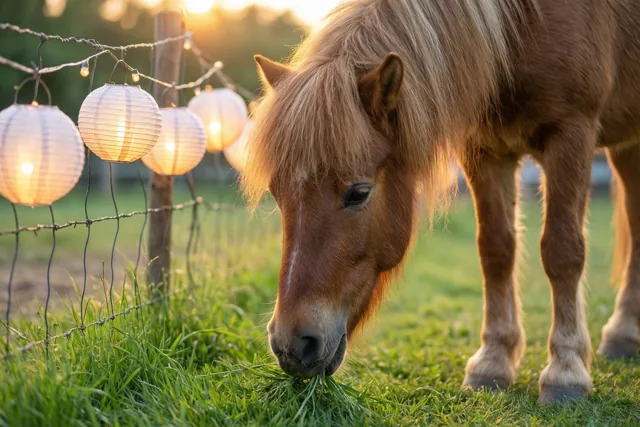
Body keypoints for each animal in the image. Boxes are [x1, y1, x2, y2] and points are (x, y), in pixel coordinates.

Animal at [243, 0, 640, 405]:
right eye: (277, 194)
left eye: (358, 193)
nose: (292, 344)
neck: (524, 26)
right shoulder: (485, 150)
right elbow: (495, 250)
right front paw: (492, 363)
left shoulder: (571, 134)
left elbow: (562, 251)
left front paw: (565, 372)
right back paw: (624, 336)